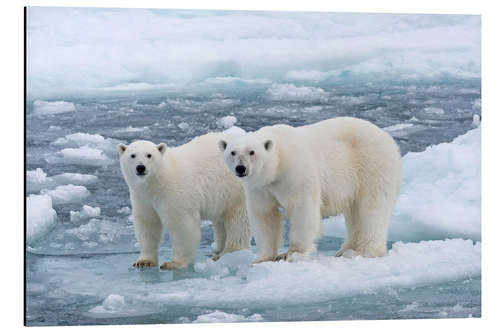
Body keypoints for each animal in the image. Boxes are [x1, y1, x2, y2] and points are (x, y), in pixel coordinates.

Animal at [117, 132, 250, 268]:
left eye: (149, 155)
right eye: (132, 155)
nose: (140, 167)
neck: (157, 181)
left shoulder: (173, 192)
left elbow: (181, 226)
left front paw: (174, 263)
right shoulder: (142, 197)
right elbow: (147, 224)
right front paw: (144, 261)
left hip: (237, 189)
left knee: (238, 220)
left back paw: (230, 252)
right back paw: (218, 248)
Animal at [219, 116, 402, 262]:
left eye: (252, 152)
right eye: (232, 152)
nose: (240, 168)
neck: (279, 161)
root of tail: (387, 137)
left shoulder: (296, 173)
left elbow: (302, 209)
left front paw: (293, 254)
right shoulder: (260, 187)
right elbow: (264, 215)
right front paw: (263, 258)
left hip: (372, 165)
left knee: (372, 208)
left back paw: (366, 251)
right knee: (355, 212)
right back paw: (346, 249)